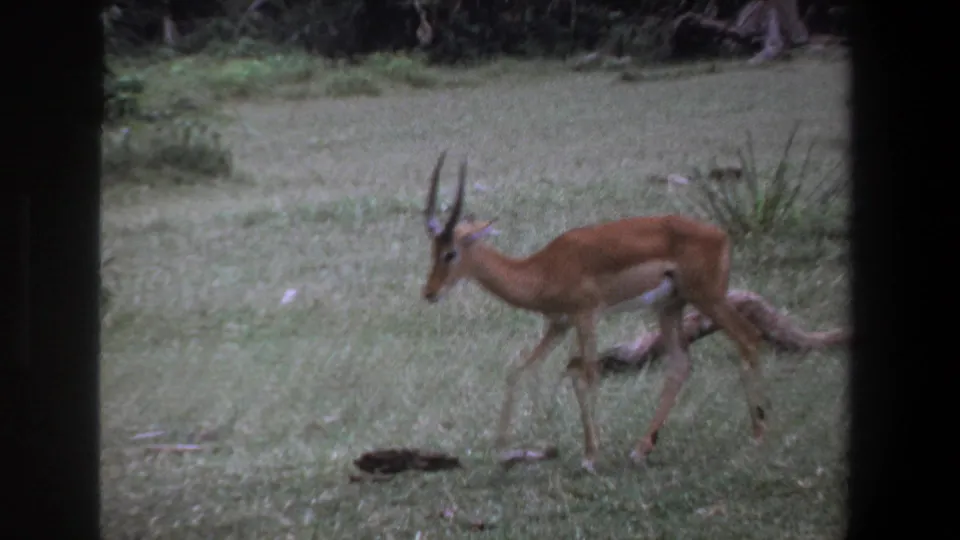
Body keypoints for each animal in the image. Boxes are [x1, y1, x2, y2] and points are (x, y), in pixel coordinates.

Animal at [420, 151, 766, 472]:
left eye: (451, 252)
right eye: (433, 250)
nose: (429, 292)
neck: (542, 270)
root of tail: (721, 235)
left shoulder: (586, 316)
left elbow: (588, 374)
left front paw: (590, 457)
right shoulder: (559, 324)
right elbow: (522, 371)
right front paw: (504, 449)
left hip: (709, 298)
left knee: (749, 338)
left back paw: (758, 435)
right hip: (669, 306)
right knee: (680, 364)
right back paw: (641, 450)